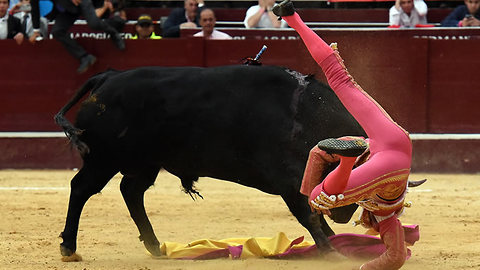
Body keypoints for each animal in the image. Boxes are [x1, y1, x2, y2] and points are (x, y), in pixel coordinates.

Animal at [55, 64, 364, 258]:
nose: (344, 217)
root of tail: (108, 77)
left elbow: (313, 210)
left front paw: (334, 244)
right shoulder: (288, 178)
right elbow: (308, 213)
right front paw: (331, 250)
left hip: (146, 163)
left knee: (130, 191)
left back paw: (155, 246)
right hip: (103, 160)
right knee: (82, 188)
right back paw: (69, 246)